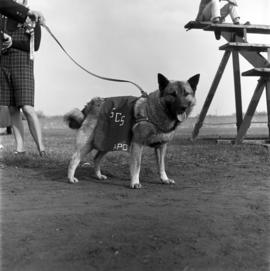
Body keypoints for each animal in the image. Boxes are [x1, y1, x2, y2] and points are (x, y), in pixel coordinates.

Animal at [64, 74, 199, 189]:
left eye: (186, 94)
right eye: (172, 94)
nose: (183, 107)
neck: (153, 113)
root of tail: (93, 103)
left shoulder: (161, 146)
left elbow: (161, 166)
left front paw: (164, 179)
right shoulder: (137, 144)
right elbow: (137, 165)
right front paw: (135, 182)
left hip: (106, 142)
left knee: (97, 159)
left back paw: (98, 175)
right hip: (87, 144)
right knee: (74, 159)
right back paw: (70, 178)